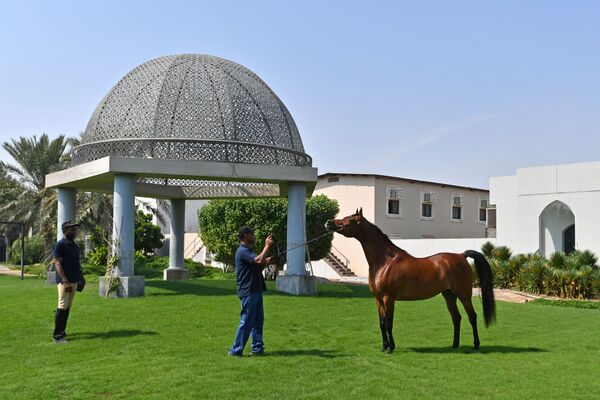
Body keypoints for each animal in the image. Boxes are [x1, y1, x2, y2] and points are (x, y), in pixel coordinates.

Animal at [326, 208, 494, 352]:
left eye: (351, 220)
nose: (329, 223)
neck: (385, 261)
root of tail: (461, 255)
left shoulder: (388, 298)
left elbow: (389, 324)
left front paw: (391, 348)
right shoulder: (378, 299)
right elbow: (381, 324)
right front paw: (384, 347)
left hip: (464, 295)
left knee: (472, 316)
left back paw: (476, 345)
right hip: (448, 295)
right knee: (456, 318)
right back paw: (454, 345)